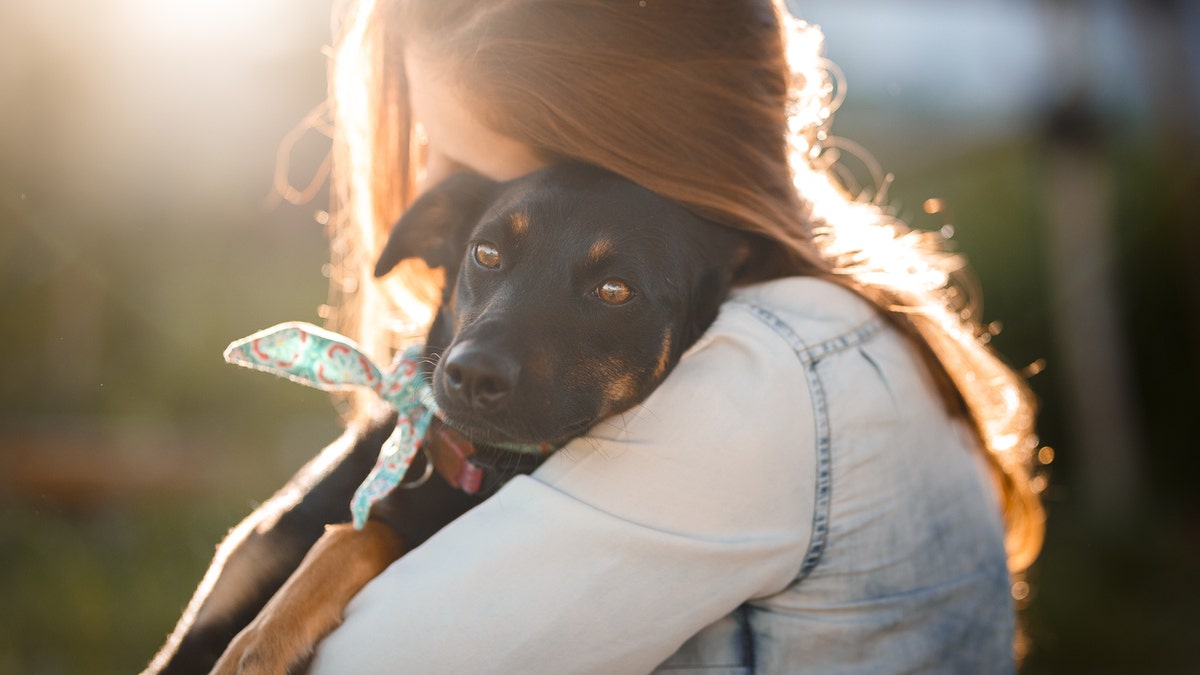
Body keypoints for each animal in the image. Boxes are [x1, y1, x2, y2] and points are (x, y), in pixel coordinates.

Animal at [145, 164, 744, 672]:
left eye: (615, 290)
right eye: (486, 252)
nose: (472, 374)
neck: (462, 463)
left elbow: (358, 536)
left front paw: (263, 641)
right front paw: (266, 636)